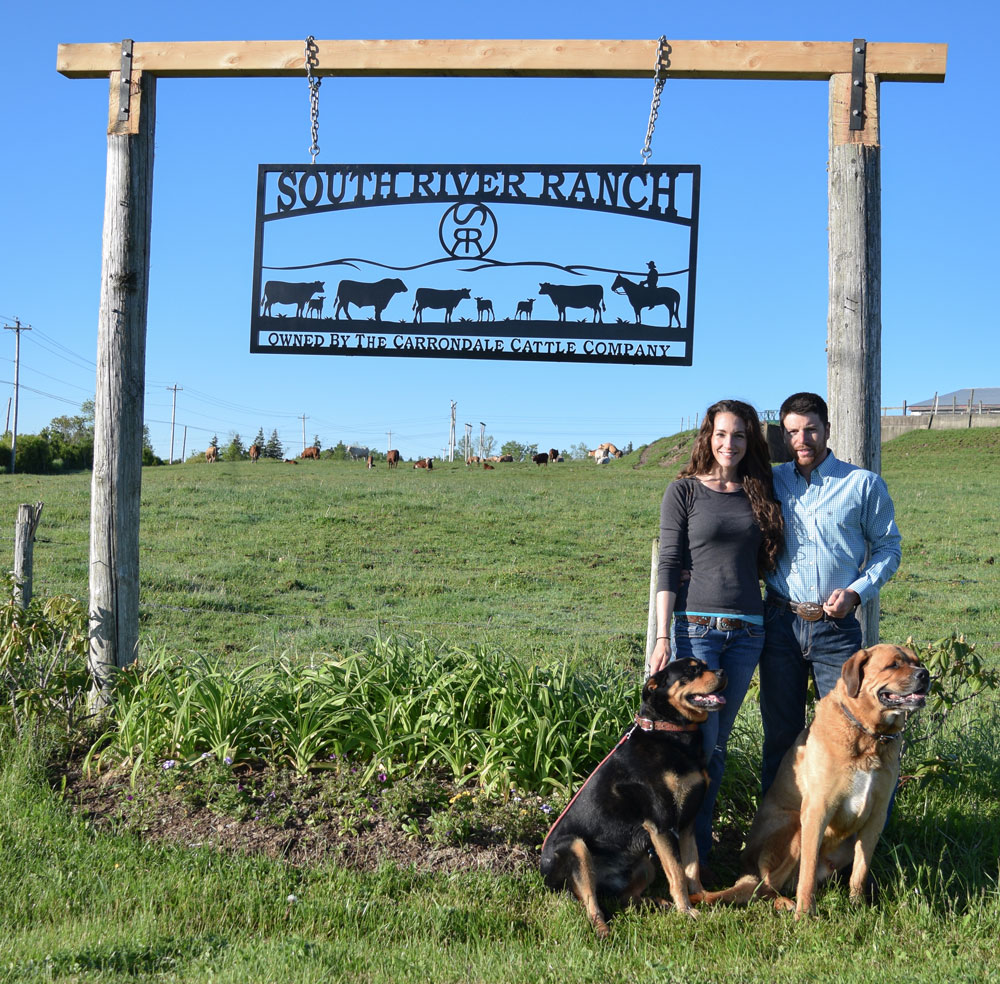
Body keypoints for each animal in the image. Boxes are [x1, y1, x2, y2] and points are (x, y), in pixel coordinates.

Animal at [540, 656, 728, 936]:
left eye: (705, 666)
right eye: (691, 670)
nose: (723, 672)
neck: (669, 731)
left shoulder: (686, 824)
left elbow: (692, 868)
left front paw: (701, 898)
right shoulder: (662, 825)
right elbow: (678, 873)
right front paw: (686, 911)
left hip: (646, 863)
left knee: (625, 898)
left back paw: (657, 902)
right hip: (576, 847)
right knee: (591, 902)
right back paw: (603, 930)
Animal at [696, 644, 928, 916]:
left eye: (917, 662)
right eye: (893, 664)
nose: (925, 674)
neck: (869, 736)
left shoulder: (876, 816)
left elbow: (860, 870)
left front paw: (857, 905)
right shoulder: (817, 809)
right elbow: (807, 871)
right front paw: (805, 912)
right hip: (794, 826)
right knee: (764, 887)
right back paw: (785, 902)